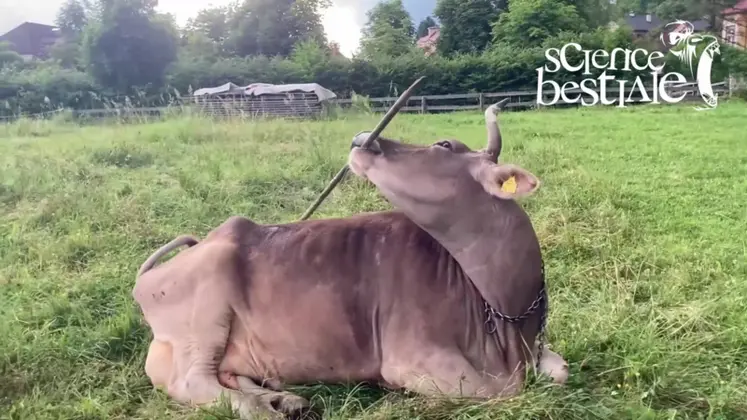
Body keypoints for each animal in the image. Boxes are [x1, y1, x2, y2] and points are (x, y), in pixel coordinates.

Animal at [132, 102, 569, 419]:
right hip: (203, 315)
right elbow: (496, 391)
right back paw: (261, 410)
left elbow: (560, 371)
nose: (363, 138)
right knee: (194, 382)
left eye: (444, 144)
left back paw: (285, 400)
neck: (506, 315)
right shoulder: (410, 357)